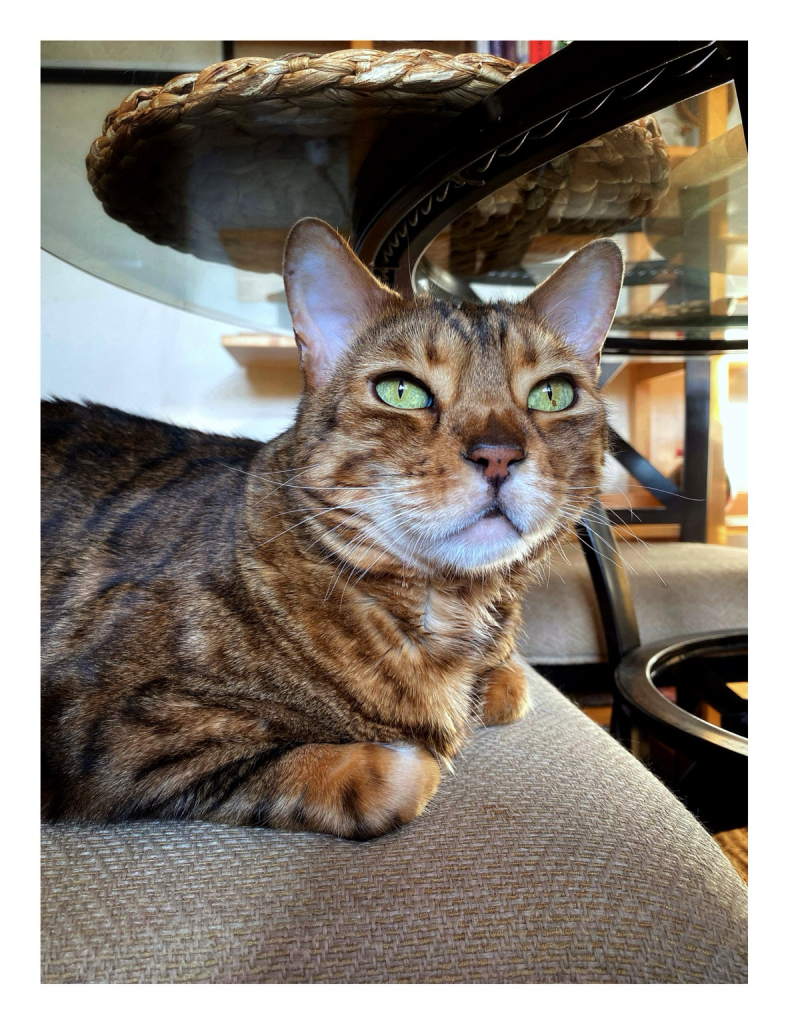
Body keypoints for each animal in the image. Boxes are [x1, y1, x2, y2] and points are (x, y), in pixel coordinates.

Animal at [41, 218, 622, 839]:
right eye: (400, 391)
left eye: (552, 394)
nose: (498, 455)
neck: (451, 613)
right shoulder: (115, 729)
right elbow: (394, 774)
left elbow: (511, 681)